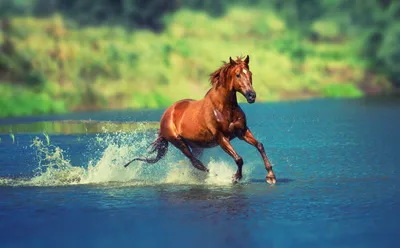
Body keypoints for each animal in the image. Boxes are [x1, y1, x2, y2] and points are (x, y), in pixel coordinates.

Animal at [123, 55, 276, 184]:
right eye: (238, 74)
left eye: (250, 74)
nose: (251, 96)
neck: (224, 108)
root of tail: (166, 114)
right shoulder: (221, 138)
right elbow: (239, 158)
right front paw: (235, 177)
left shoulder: (242, 131)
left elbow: (260, 145)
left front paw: (271, 176)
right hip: (178, 142)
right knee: (195, 162)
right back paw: (214, 176)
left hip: (196, 145)